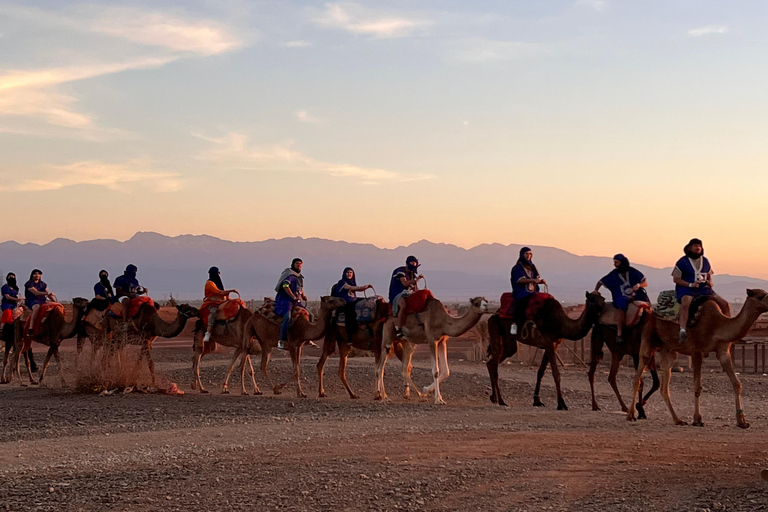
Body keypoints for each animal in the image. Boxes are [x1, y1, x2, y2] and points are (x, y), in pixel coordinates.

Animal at [628, 288, 768, 428]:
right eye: (761, 296)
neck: (717, 326)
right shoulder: (696, 351)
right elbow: (697, 387)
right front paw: (697, 419)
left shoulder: (723, 352)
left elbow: (737, 383)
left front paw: (742, 421)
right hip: (649, 335)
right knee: (638, 374)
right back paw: (631, 415)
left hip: (668, 349)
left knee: (664, 385)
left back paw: (678, 420)